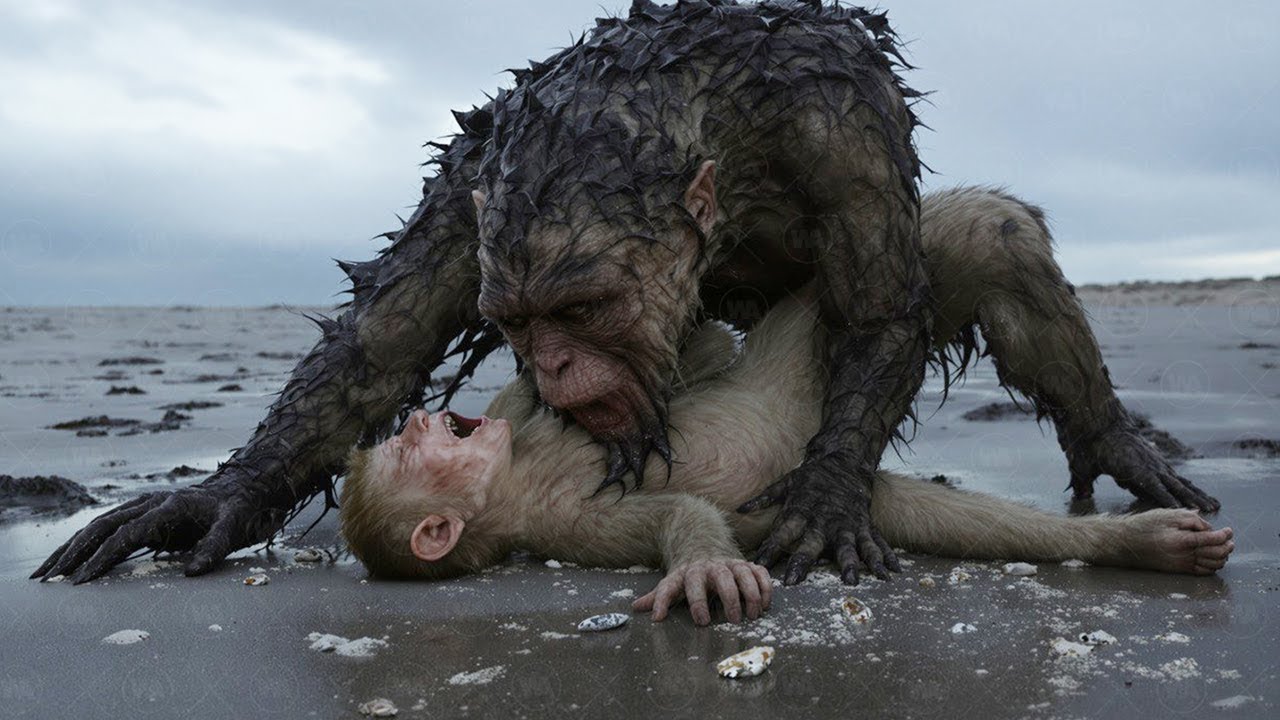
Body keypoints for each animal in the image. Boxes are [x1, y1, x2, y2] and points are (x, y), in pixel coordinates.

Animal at [35, 3, 1217, 588]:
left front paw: (827, 495)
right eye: (515, 323)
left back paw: (1122, 450)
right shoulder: (471, 182)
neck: (701, 115)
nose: (553, 367)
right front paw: (214, 500)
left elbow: (883, 305)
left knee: (985, 235)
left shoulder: (841, 122)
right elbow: (379, 342)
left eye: (582, 310)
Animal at [338, 286, 1234, 626]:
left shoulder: (522, 423)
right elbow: (678, 513)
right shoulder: (567, 526)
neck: (511, 476)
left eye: (408, 438)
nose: (424, 415)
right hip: (829, 454)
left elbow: (672, 367)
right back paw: (1146, 538)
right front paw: (707, 572)